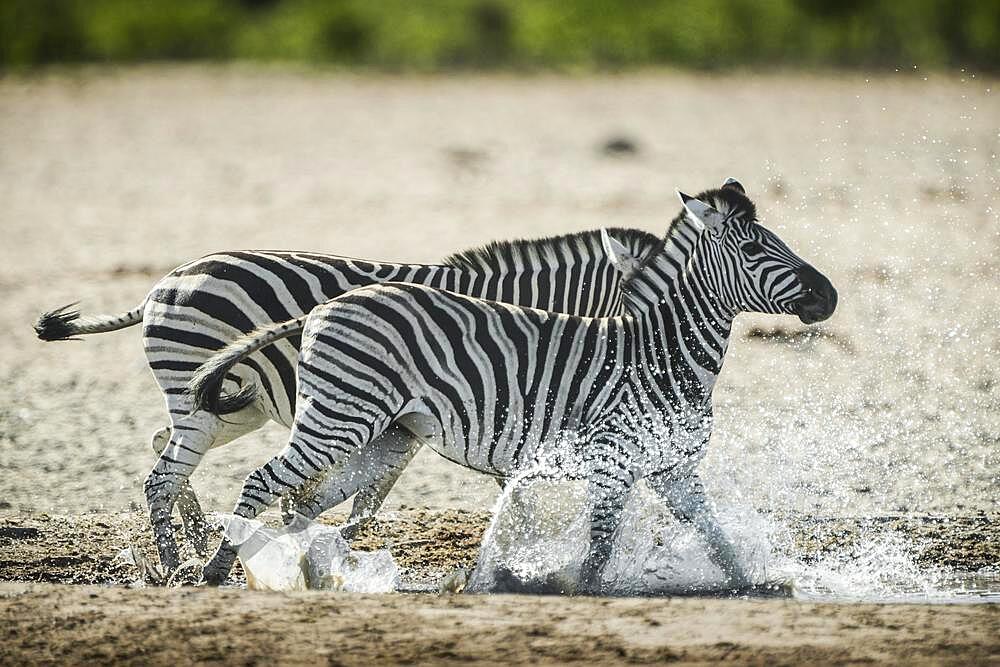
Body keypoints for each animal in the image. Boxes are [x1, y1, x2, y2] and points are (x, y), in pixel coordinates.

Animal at [35, 224, 660, 576]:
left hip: (232, 405)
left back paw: (197, 537)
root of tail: (162, 284)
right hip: (212, 397)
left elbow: (364, 498)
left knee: (161, 446)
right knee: (162, 473)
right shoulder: (493, 406)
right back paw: (176, 562)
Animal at [189, 183, 836, 588]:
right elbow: (597, 552)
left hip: (386, 436)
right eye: (753, 248)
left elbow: (717, 540)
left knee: (306, 500)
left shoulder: (673, 470)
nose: (829, 296)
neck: (663, 352)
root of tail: (327, 307)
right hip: (339, 419)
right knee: (264, 480)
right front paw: (570, 589)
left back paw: (303, 575)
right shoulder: (612, 463)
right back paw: (218, 571)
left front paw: (757, 585)